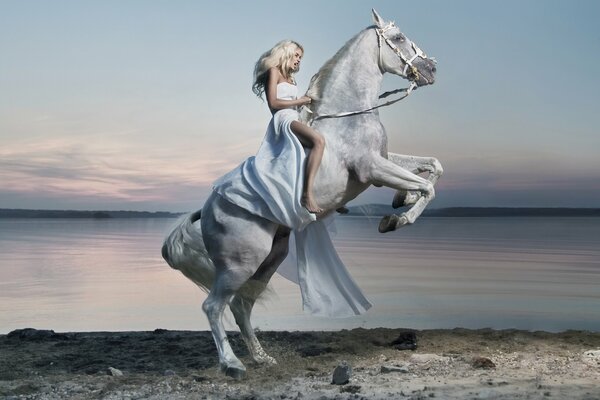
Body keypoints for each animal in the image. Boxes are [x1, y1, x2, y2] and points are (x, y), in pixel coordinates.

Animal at [162, 9, 442, 378]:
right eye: (397, 38)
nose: (431, 69)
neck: (346, 116)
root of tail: (207, 208)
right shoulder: (372, 168)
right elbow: (426, 185)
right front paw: (395, 219)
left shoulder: (381, 163)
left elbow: (433, 167)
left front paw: (401, 201)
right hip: (239, 265)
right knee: (213, 306)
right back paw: (233, 364)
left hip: (268, 259)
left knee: (240, 306)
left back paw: (262, 358)